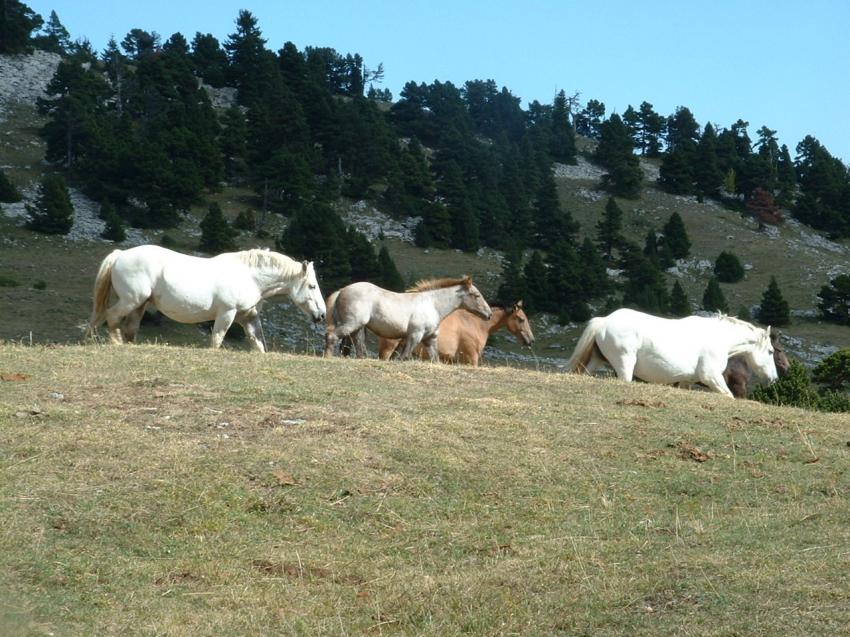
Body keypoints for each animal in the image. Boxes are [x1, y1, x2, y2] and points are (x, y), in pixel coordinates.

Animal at [86, 245, 324, 352]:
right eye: (312, 286)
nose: (321, 315)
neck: (250, 276)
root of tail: (120, 254)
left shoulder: (248, 318)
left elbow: (259, 344)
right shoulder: (227, 314)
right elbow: (217, 339)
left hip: (140, 305)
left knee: (129, 328)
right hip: (132, 301)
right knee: (112, 316)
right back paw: (116, 343)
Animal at [322, 276, 490, 360]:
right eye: (476, 295)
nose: (488, 314)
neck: (432, 305)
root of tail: (341, 290)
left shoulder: (430, 338)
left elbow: (435, 359)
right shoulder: (415, 335)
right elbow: (404, 357)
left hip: (357, 328)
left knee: (359, 349)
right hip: (352, 324)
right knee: (331, 336)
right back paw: (327, 357)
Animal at [568, 306, 780, 396]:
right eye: (771, 351)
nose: (774, 379)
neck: (719, 338)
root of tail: (604, 320)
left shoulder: (687, 381)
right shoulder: (711, 377)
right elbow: (728, 396)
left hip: (594, 362)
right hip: (624, 365)